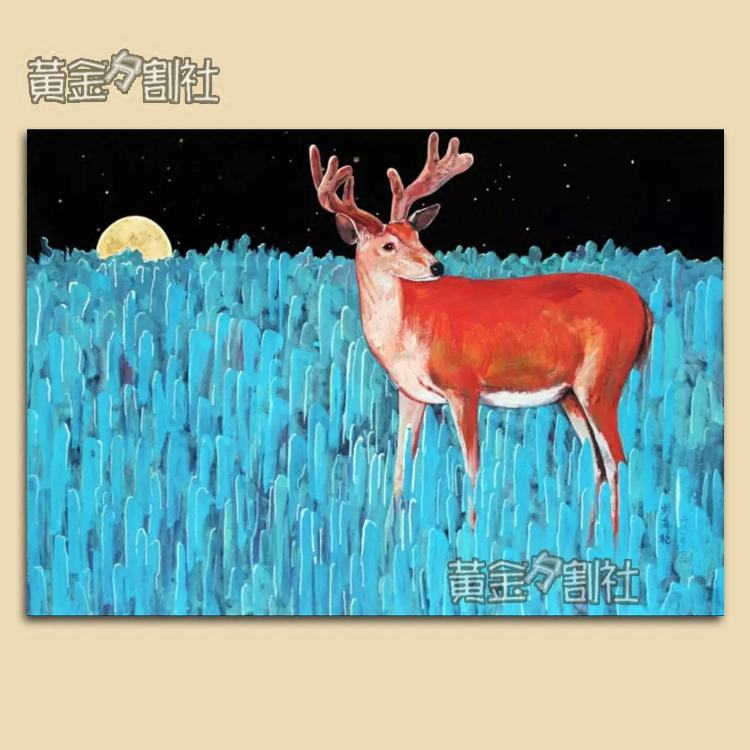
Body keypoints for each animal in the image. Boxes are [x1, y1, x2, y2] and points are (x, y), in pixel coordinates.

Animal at [309, 132, 653, 544]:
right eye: (389, 244)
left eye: (417, 235)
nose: (436, 266)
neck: (408, 329)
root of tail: (644, 306)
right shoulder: (410, 393)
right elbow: (400, 468)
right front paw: (394, 539)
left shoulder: (464, 386)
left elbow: (472, 468)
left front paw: (471, 535)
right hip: (569, 395)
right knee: (597, 462)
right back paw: (589, 542)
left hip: (602, 381)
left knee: (617, 460)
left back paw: (615, 544)